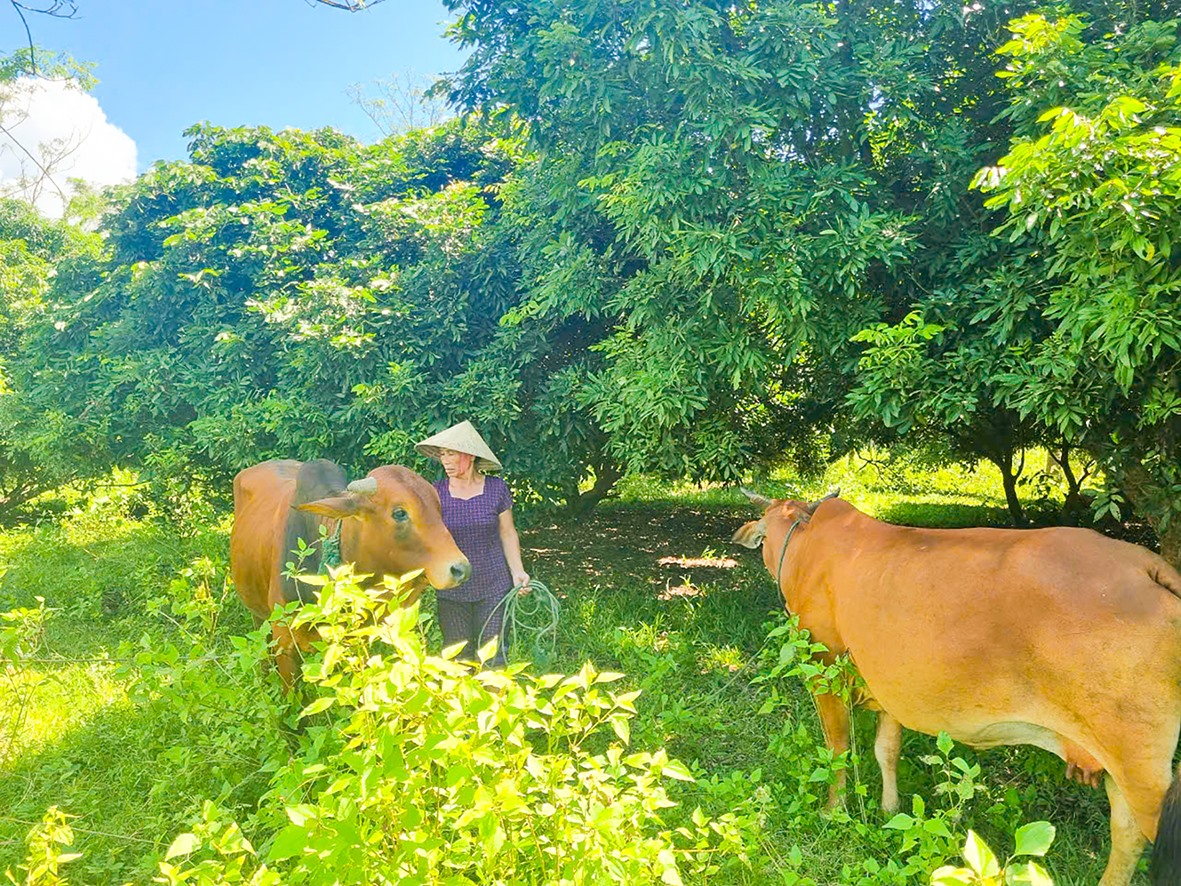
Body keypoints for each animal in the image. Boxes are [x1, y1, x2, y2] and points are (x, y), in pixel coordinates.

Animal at [732, 493, 1181, 886]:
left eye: (766, 537)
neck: (807, 546)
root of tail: (1145, 563)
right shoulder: (890, 686)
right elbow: (886, 749)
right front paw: (890, 807)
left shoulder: (825, 667)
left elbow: (839, 748)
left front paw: (833, 809)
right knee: (1125, 832)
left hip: (1141, 769)